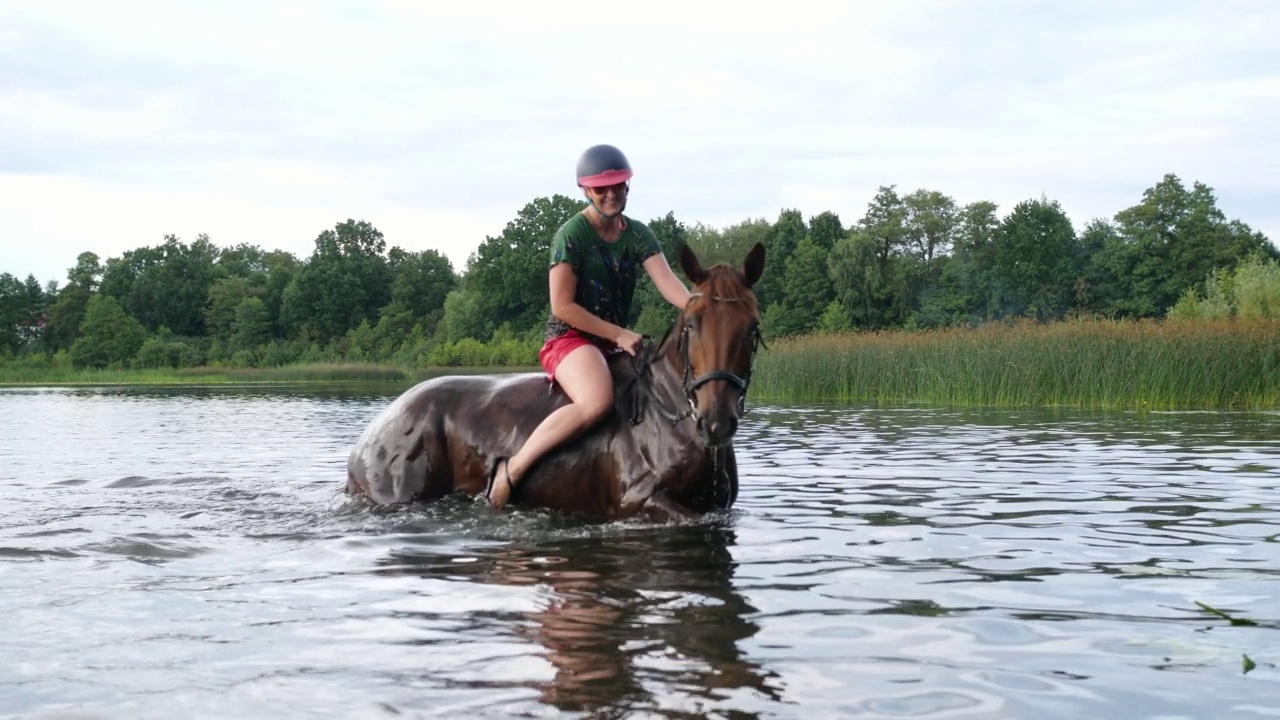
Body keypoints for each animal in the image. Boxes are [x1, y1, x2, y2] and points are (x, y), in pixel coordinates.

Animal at [345, 239, 762, 515]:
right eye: (692, 325)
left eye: (752, 327)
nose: (716, 422)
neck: (668, 410)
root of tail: (368, 438)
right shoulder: (641, 502)